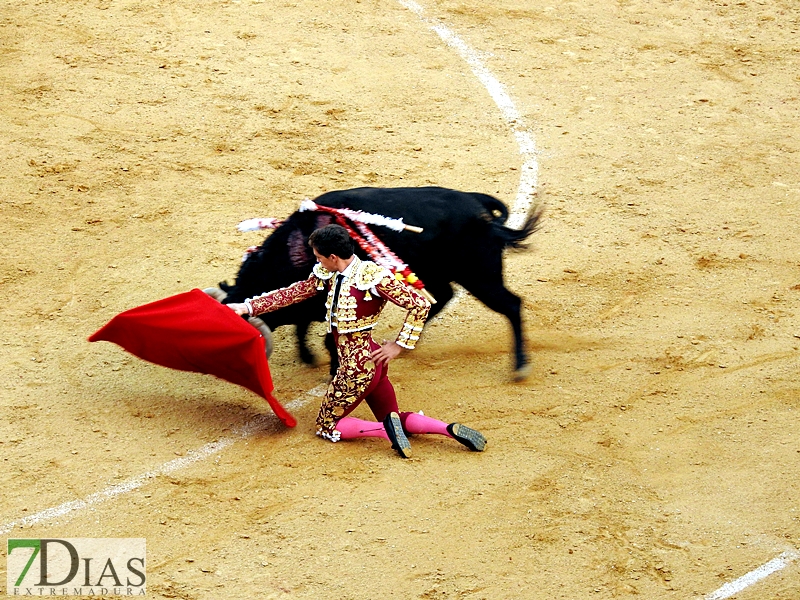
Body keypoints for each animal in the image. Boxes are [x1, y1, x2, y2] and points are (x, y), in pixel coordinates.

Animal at [216, 186, 540, 380]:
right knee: (442, 297)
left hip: (480, 275)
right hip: (439, 273)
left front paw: (331, 366)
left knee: (511, 304)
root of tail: (478, 206)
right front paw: (309, 356)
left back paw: (520, 366)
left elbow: (322, 332)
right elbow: (303, 322)